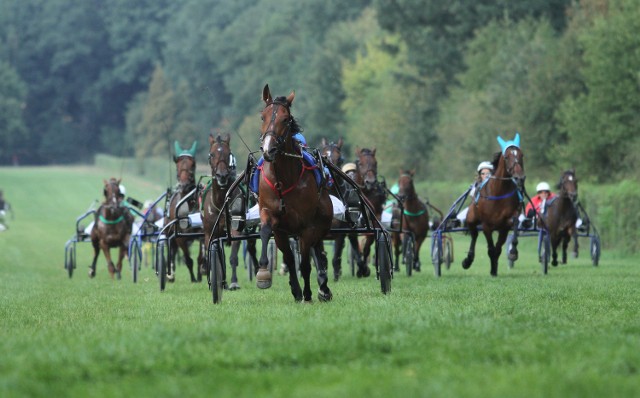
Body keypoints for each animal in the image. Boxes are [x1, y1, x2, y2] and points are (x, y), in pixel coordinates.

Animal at [165, 141, 202, 282]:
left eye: (193, 166)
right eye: (178, 167)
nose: (184, 185)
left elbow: (201, 257)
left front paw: (200, 275)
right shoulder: (180, 237)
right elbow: (188, 259)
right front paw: (193, 279)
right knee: (172, 249)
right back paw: (170, 274)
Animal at [201, 133, 258, 290]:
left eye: (228, 154)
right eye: (212, 154)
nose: (222, 175)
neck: (221, 202)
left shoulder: (236, 230)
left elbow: (233, 256)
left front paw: (233, 282)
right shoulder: (210, 233)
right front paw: (221, 281)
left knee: (252, 247)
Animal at [255, 84, 336, 302]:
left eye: (285, 119)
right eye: (263, 117)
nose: (269, 150)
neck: (283, 180)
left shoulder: (306, 225)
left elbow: (306, 263)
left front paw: (307, 293)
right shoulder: (274, 219)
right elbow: (268, 234)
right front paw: (264, 274)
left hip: (322, 221)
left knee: (317, 250)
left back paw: (323, 287)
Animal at [464, 134, 524, 276]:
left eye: (522, 155)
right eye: (507, 157)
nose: (519, 178)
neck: (499, 191)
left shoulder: (506, 225)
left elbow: (513, 226)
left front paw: (512, 253)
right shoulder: (486, 225)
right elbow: (491, 249)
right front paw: (492, 270)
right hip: (471, 218)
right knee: (474, 234)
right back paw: (468, 260)